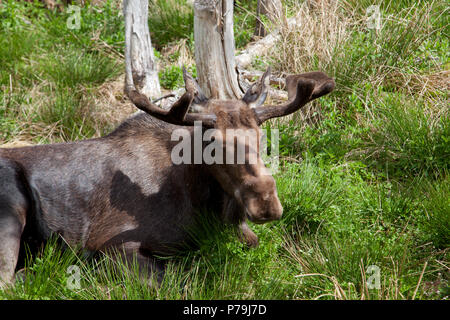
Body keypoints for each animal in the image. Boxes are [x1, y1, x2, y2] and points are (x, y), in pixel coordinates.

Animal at [0, 68, 334, 288]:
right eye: (212, 143)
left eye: (262, 138)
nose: (265, 202)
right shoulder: (111, 244)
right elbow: (179, 279)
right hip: (11, 209)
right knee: (10, 280)